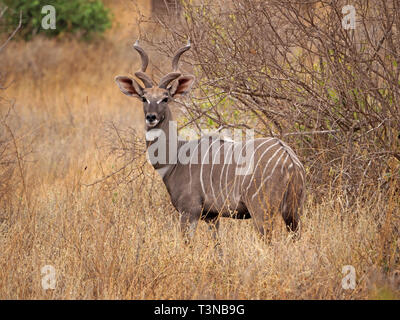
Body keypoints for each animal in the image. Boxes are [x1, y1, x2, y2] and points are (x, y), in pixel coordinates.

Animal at [115, 40, 306, 242]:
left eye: (165, 98)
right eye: (144, 98)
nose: (151, 117)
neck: (175, 159)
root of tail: (291, 160)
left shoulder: (189, 210)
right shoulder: (212, 216)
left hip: (262, 211)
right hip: (293, 213)